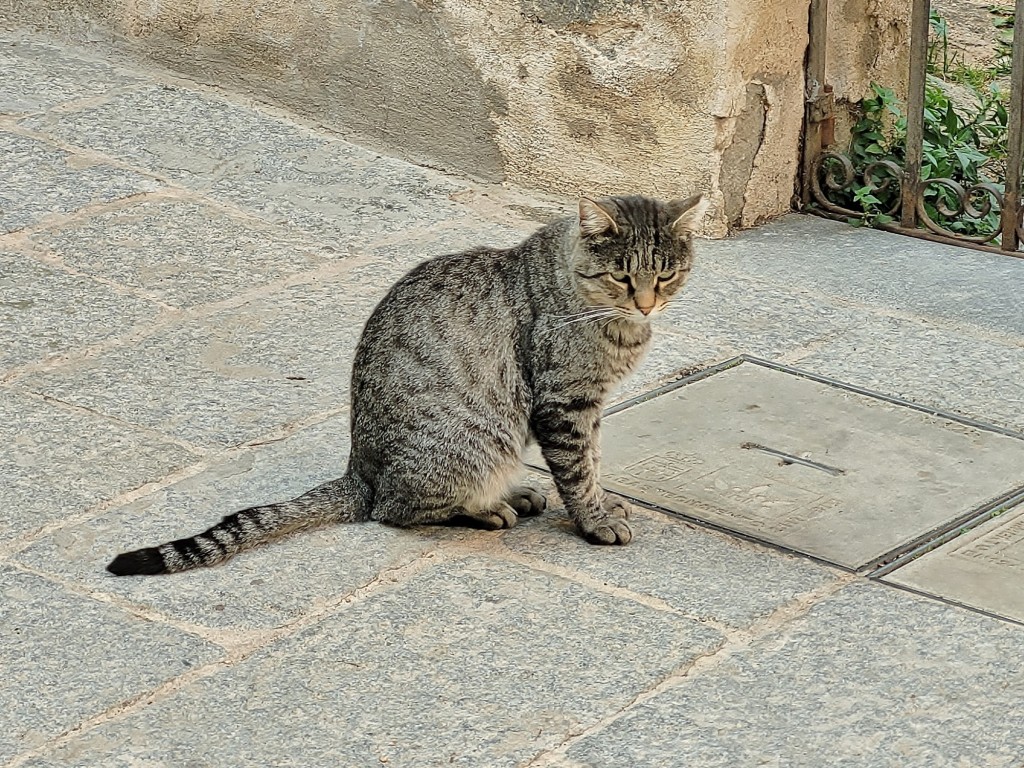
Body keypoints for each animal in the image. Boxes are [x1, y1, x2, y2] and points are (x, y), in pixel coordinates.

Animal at [108, 193, 708, 577]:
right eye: (622, 276)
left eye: (666, 275)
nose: (646, 303)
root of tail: (359, 472)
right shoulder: (565, 404)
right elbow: (579, 470)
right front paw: (594, 519)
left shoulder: (591, 405)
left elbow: (595, 461)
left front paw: (603, 501)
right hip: (476, 441)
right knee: (394, 509)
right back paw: (487, 507)